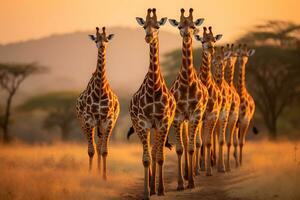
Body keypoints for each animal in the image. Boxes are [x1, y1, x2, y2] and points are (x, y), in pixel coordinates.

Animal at [75, 27, 120, 180]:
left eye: (106, 39)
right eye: (96, 40)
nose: (102, 46)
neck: (100, 89)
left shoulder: (108, 120)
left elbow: (104, 150)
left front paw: (104, 177)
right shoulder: (89, 120)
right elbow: (91, 151)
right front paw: (90, 174)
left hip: (102, 125)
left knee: (100, 146)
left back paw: (100, 171)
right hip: (83, 123)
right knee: (92, 146)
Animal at [128, 8, 176, 199]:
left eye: (157, 26)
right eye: (144, 26)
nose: (148, 37)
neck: (154, 87)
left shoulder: (163, 122)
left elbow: (159, 157)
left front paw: (161, 189)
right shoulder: (143, 123)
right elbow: (146, 159)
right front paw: (146, 192)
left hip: (160, 126)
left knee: (156, 152)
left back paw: (156, 187)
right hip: (143, 126)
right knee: (150, 151)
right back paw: (151, 186)